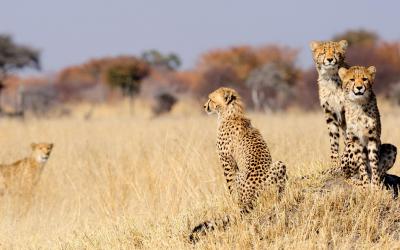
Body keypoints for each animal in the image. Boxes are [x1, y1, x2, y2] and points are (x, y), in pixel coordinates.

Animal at [189, 87, 286, 242]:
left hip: (245, 174)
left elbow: (231, 188)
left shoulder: (227, 162)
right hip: (280, 164)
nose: (204, 106)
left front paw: (233, 203)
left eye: (211, 99)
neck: (230, 112)